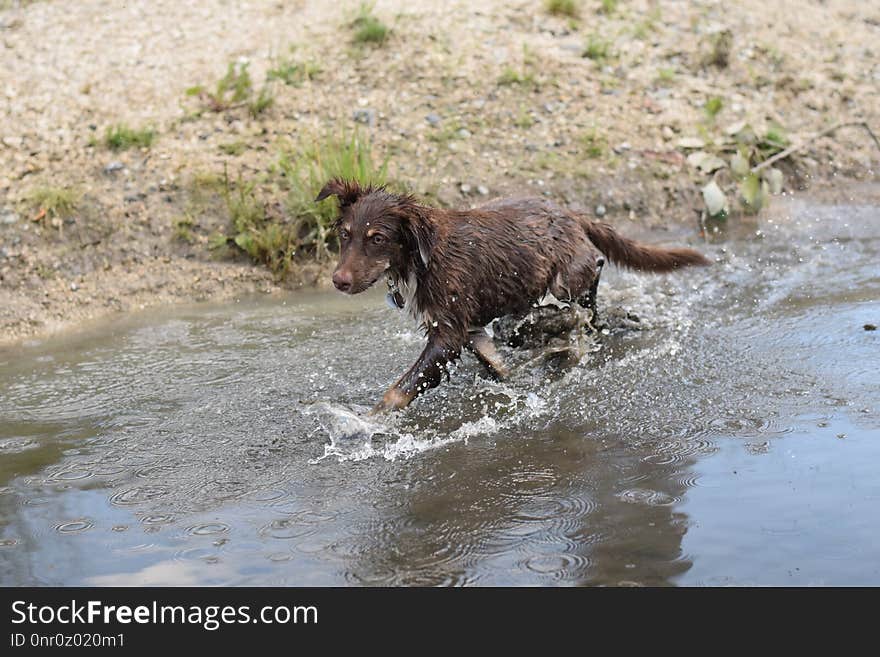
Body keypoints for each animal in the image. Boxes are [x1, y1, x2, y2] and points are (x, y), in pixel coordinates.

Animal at [316, 177, 708, 412]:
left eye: (378, 238)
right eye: (345, 234)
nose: (339, 281)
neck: (421, 257)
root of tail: (570, 212)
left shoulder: (447, 334)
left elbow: (397, 391)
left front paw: (368, 422)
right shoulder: (468, 329)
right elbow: (497, 364)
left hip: (566, 277)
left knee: (592, 287)